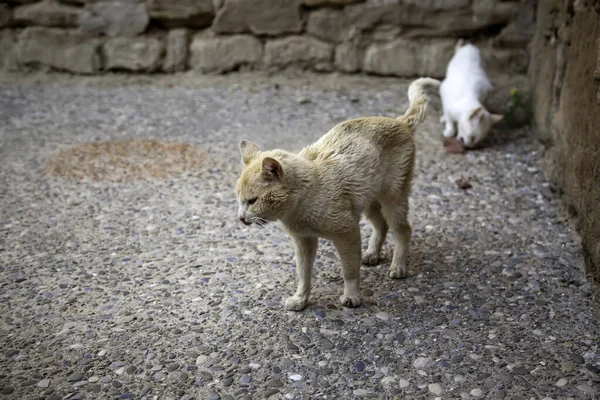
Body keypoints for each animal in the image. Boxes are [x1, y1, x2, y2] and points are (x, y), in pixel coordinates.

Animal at [237, 76, 438, 310]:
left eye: (252, 201)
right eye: (239, 200)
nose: (240, 218)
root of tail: (400, 122)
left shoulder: (347, 232)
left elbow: (349, 271)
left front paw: (351, 296)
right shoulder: (304, 241)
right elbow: (303, 274)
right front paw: (300, 299)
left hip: (393, 198)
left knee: (403, 230)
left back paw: (398, 266)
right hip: (369, 202)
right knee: (381, 225)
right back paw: (372, 254)